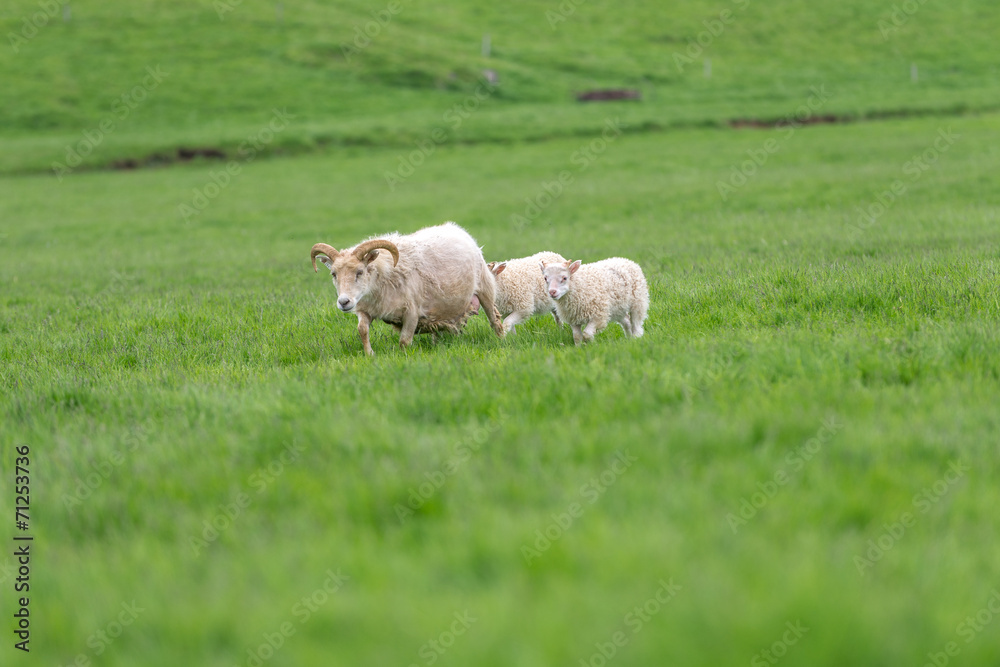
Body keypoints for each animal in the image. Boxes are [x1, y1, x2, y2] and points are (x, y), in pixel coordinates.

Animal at [311, 222, 505, 355]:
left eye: (360, 272)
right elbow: (362, 330)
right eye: (334, 274)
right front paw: (369, 354)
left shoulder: (412, 312)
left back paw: (502, 341)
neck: (382, 275)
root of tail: (455, 228)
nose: (344, 302)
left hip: (485, 288)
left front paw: (403, 357)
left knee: (494, 321)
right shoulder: (365, 309)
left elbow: (404, 341)